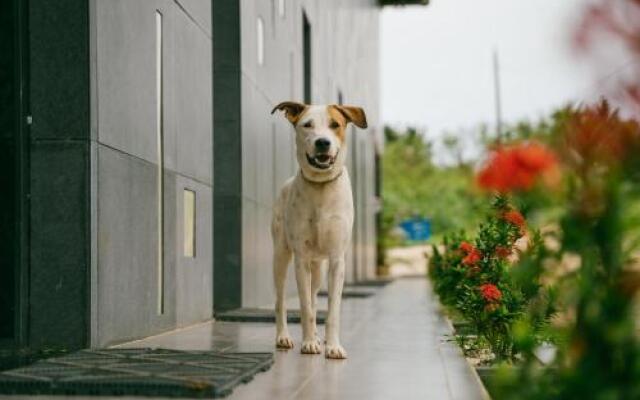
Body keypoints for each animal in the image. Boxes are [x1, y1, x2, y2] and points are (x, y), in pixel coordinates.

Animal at [270, 101, 368, 360]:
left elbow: (331, 309)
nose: (323, 142)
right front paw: (308, 343)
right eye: (307, 125)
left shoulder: (336, 260)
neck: (321, 186)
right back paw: (284, 336)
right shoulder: (301, 259)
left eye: (335, 124)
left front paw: (332, 346)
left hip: (319, 268)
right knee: (281, 300)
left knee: (314, 296)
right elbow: (304, 307)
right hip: (281, 255)